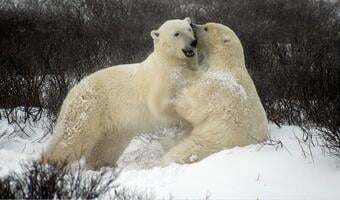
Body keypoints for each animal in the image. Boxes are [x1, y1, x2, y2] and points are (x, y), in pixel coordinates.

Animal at [43, 18, 201, 170]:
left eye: (189, 29)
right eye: (176, 33)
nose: (193, 42)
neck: (169, 60)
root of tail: (72, 91)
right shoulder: (161, 79)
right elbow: (161, 105)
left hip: (114, 125)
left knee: (108, 147)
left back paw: (101, 165)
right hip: (88, 109)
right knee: (72, 137)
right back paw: (51, 164)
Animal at [161, 22, 270, 166]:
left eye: (206, 27)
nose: (192, 24)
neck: (227, 64)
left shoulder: (216, 86)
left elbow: (193, 106)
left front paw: (177, 94)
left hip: (209, 141)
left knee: (182, 152)